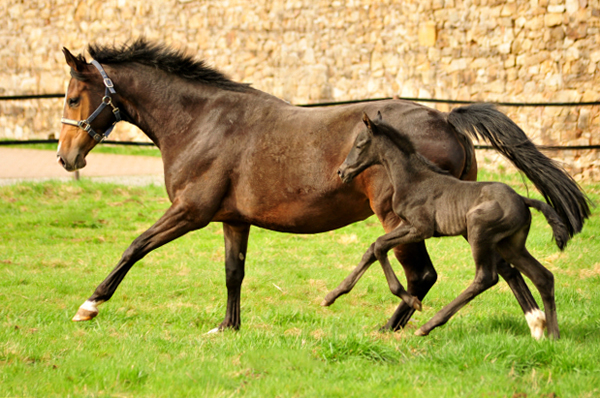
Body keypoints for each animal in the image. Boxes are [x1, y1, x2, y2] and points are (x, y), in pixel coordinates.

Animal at [330, 113, 576, 340]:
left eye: (360, 144)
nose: (342, 172)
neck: (414, 179)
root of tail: (523, 199)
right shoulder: (406, 225)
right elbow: (373, 247)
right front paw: (332, 295)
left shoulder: (421, 229)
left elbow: (380, 246)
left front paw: (412, 301)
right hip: (511, 245)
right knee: (543, 276)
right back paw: (553, 337)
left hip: (478, 233)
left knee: (486, 278)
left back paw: (428, 326)